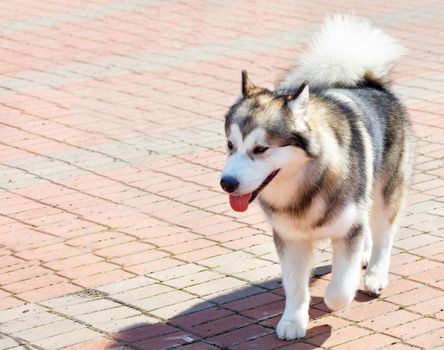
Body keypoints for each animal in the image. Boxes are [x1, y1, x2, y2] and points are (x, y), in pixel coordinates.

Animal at [219, 15, 412, 340]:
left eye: (261, 149)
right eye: (230, 145)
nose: (227, 183)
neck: (307, 185)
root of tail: (371, 84)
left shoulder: (348, 228)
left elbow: (340, 289)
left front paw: (340, 294)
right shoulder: (289, 238)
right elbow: (295, 285)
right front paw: (293, 321)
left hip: (387, 189)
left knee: (384, 232)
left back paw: (374, 274)